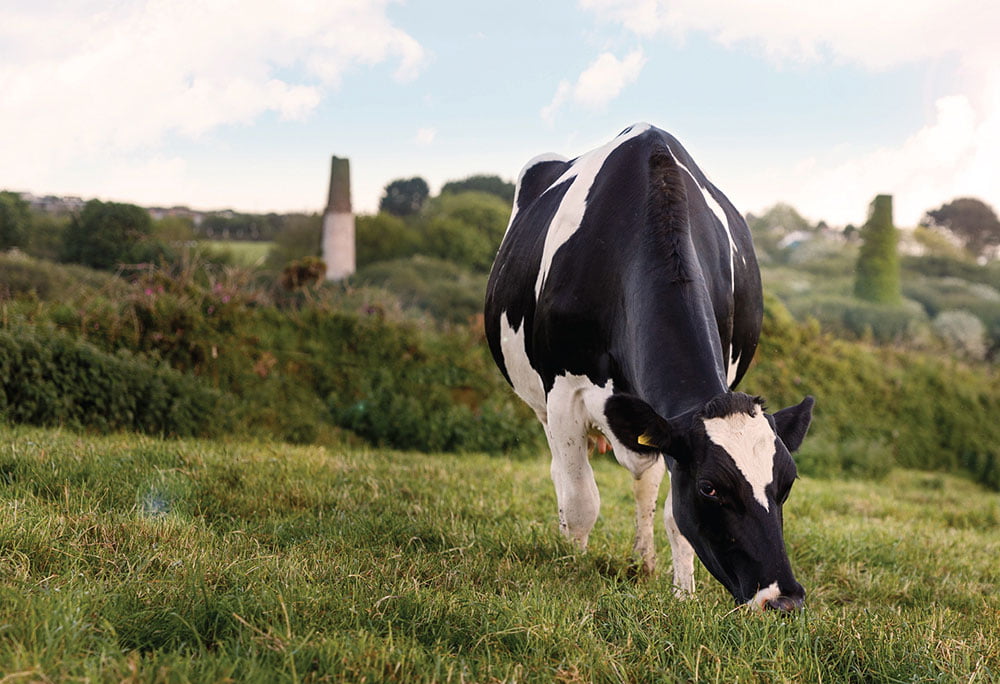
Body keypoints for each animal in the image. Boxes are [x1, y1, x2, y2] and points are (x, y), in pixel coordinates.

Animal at [484, 123, 814, 611]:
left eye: (787, 482)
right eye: (709, 488)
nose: (783, 599)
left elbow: (673, 513)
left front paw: (683, 593)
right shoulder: (563, 392)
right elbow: (581, 500)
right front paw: (573, 569)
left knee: (645, 480)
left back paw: (644, 560)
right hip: (542, 402)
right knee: (564, 475)